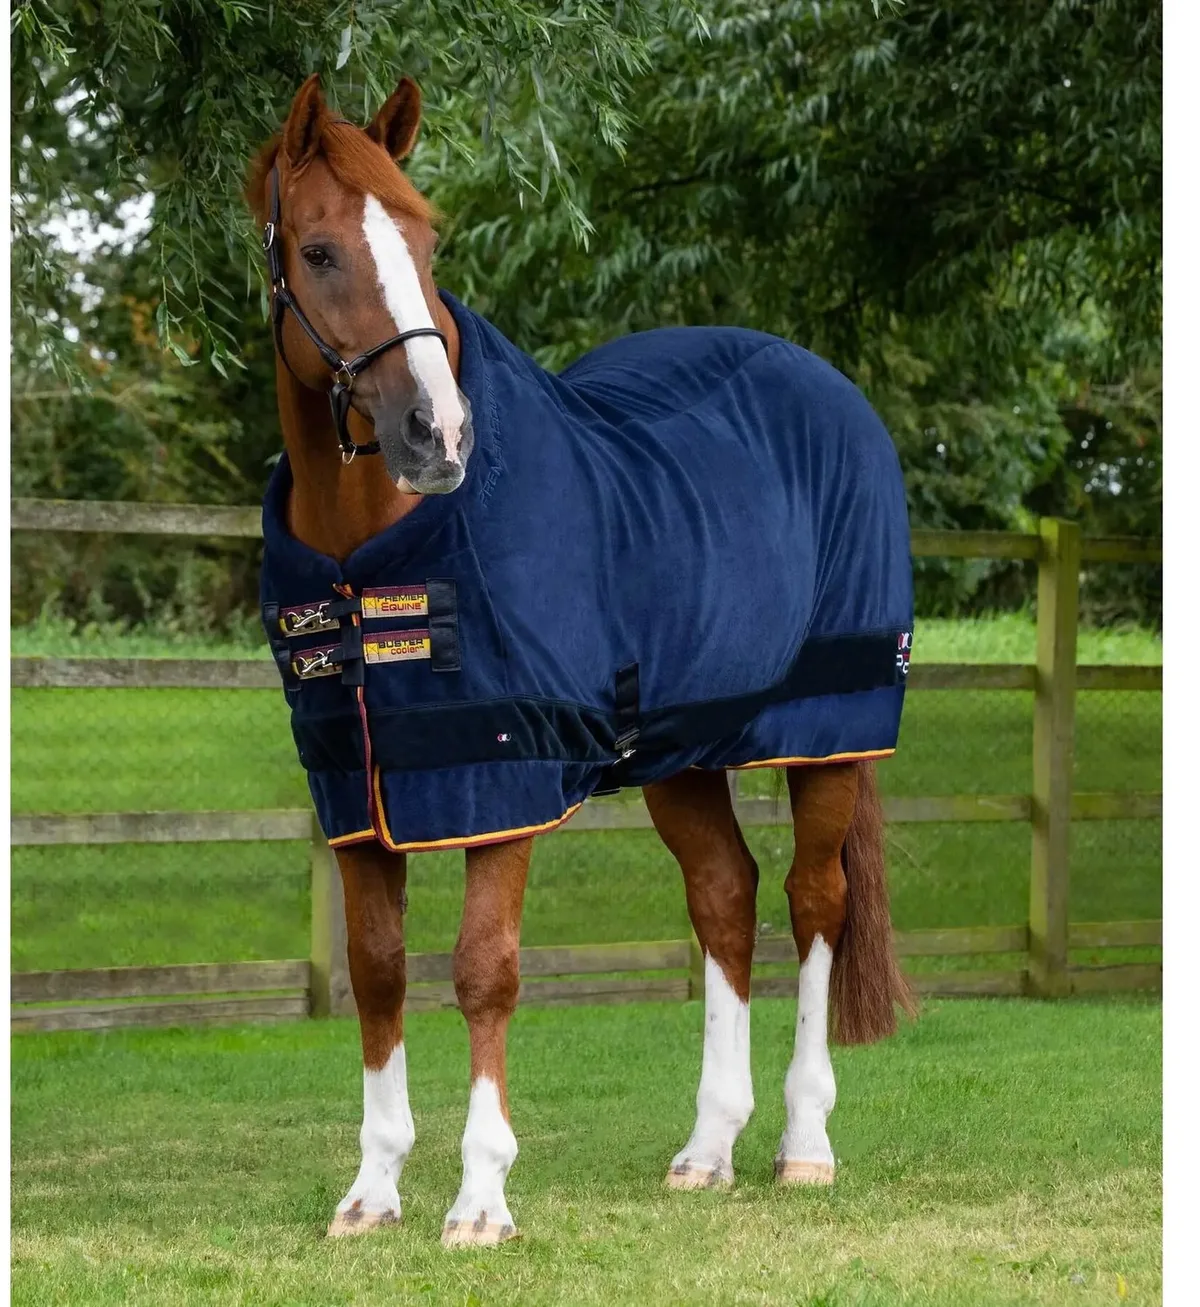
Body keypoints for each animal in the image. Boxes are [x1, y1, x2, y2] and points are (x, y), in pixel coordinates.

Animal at [248, 72, 916, 1248]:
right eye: (320, 250)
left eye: (426, 237)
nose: (438, 433)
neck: (373, 550)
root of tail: (828, 388)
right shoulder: (359, 789)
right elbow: (377, 972)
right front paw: (372, 1190)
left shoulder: (503, 776)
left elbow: (484, 971)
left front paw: (480, 1199)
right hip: (685, 750)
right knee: (725, 896)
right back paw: (707, 1149)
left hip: (830, 732)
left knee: (813, 901)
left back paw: (804, 1143)